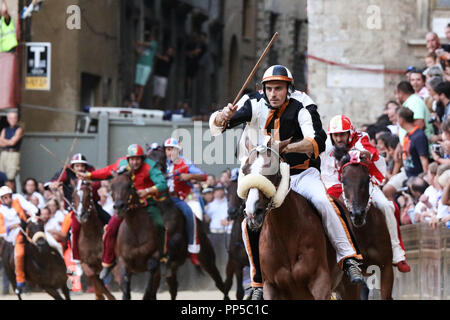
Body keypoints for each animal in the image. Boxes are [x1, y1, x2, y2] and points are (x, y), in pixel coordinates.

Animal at [110, 170, 161, 300]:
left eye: (129, 185)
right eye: (112, 186)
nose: (119, 207)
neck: (135, 231)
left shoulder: (154, 254)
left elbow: (152, 269)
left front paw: (146, 294)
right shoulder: (123, 261)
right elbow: (125, 285)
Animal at [147, 145, 229, 300]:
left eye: (161, 157)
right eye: (147, 157)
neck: (162, 209)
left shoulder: (176, 238)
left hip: (207, 259)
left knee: (220, 283)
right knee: (172, 288)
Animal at [239, 140, 338, 300]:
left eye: (273, 170)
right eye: (244, 169)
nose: (252, 213)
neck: (286, 234)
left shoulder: (320, 281)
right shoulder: (271, 286)